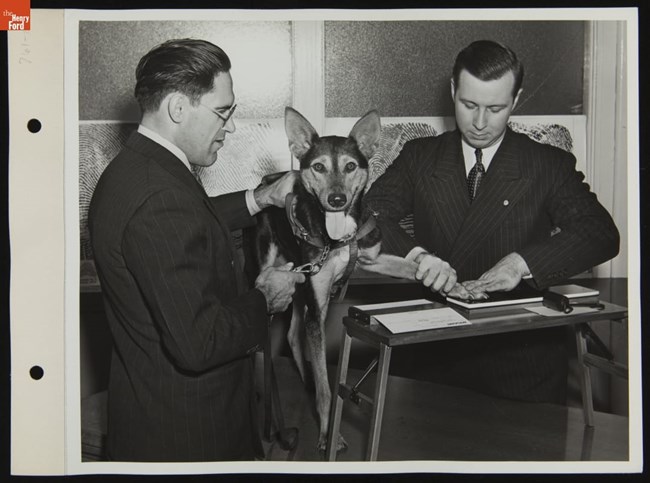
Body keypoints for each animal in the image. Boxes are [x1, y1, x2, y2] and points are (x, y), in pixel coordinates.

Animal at [248, 107, 416, 454]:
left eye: (351, 166)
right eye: (318, 167)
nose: (337, 199)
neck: (336, 238)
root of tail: (266, 181)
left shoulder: (369, 260)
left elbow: (408, 266)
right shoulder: (317, 306)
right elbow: (328, 389)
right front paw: (329, 434)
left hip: (301, 287)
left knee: (293, 336)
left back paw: (306, 380)